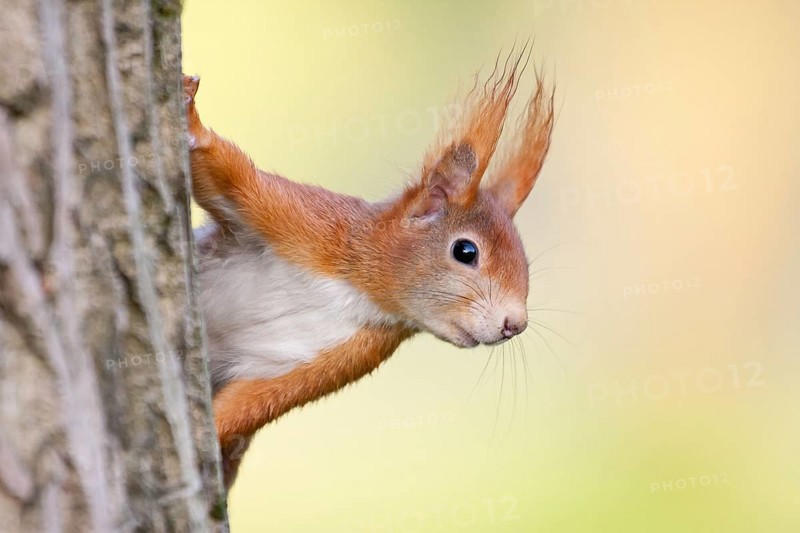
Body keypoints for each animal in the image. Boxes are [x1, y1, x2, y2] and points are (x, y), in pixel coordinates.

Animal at [183, 48, 555, 489]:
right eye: (465, 251)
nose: (515, 323)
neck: (359, 289)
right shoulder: (306, 223)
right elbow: (230, 177)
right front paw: (190, 117)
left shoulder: (340, 355)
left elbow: (249, 406)